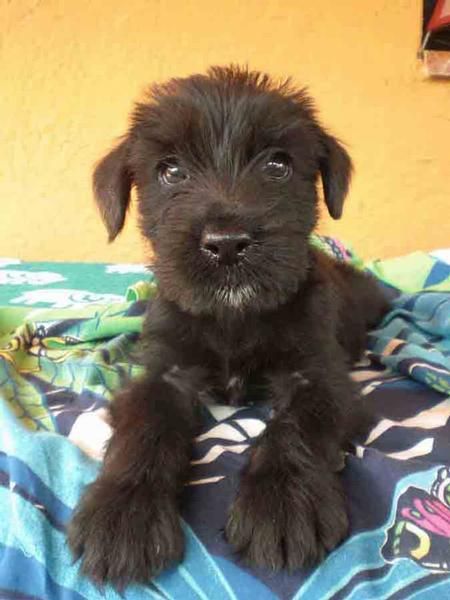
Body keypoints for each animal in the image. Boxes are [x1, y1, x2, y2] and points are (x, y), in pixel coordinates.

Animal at [68, 65, 388, 584]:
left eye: (278, 165)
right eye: (170, 170)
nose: (226, 244)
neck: (233, 318)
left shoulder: (319, 375)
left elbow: (296, 425)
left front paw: (282, 504)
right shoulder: (166, 372)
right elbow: (145, 426)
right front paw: (123, 511)